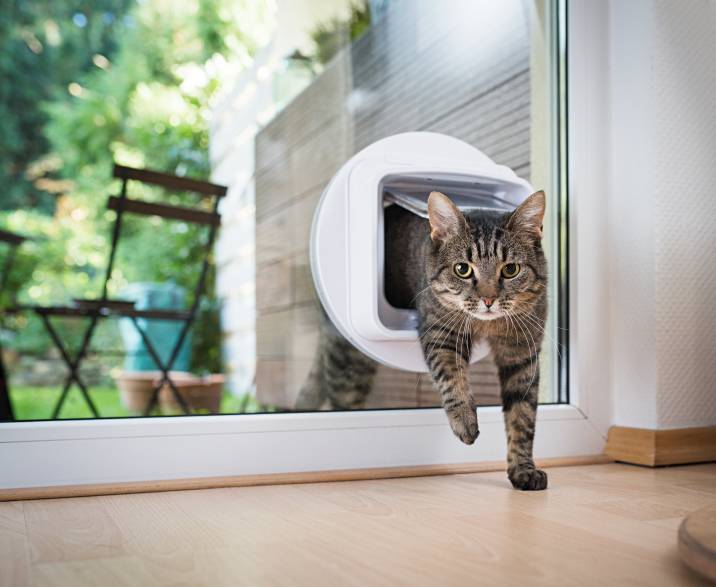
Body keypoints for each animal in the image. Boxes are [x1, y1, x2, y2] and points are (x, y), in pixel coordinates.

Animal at [296, 191, 548, 490]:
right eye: (463, 269)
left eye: (510, 269)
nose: (488, 300)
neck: (486, 325)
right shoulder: (440, 333)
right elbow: (451, 377)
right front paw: (464, 420)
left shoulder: (522, 354)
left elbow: (522, 416)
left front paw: (523, 468)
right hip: (348, 362)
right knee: (343, 400)